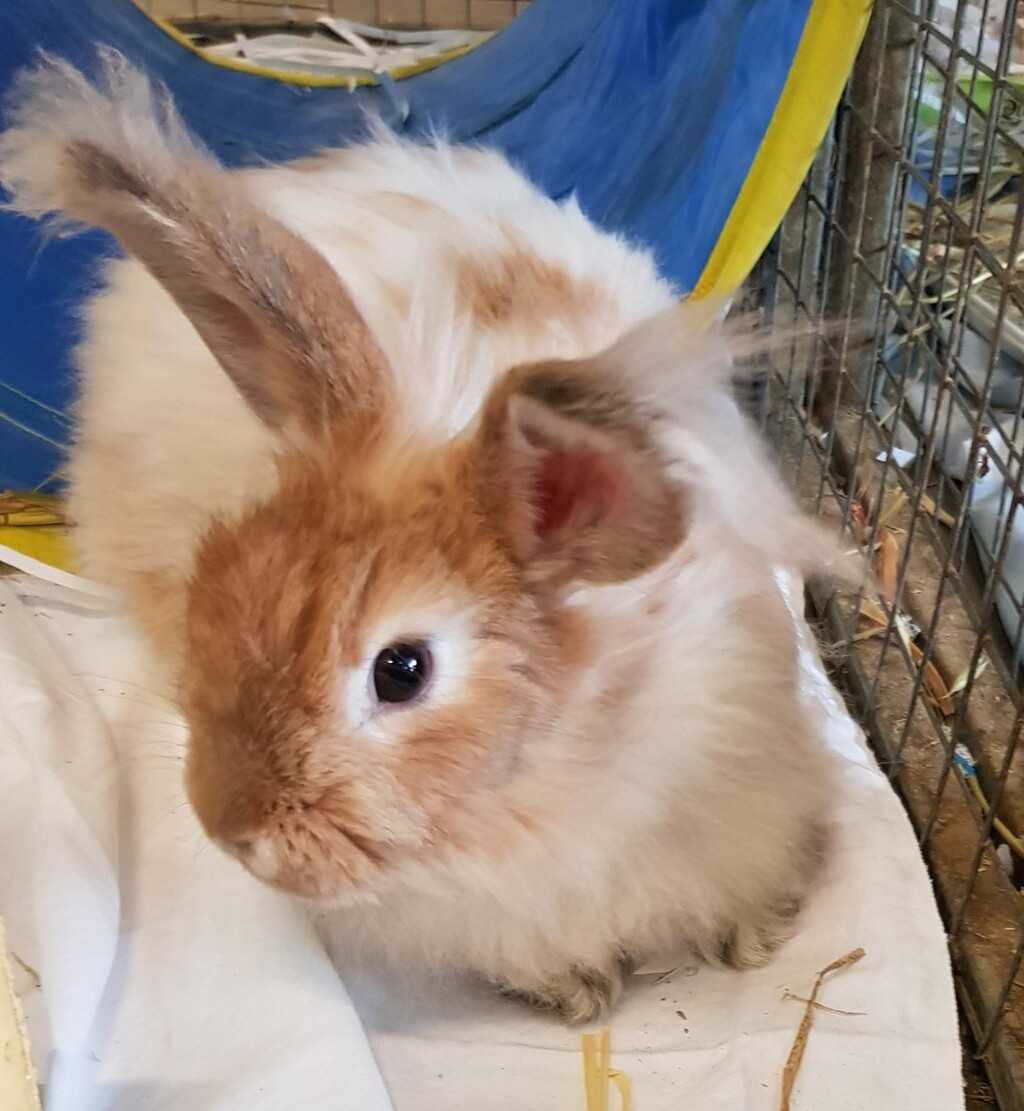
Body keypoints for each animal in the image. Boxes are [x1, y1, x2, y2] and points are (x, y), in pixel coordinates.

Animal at [0, 50, 856, 1022]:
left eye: (401, 669)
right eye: (215, 583)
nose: (230, 827)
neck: (556, 789)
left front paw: (752, 939)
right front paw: (580, 990)